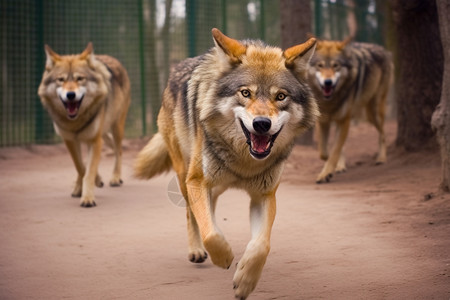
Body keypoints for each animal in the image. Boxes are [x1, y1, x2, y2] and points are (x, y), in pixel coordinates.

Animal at [37, 42, 131, 206]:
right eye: (60, 79)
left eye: (80, 78)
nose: (70, 95)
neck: (75, 121)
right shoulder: (70, 140)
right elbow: (81, 167)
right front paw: (92, 183)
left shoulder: (94, 140)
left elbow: (88, 170)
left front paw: (88, 198)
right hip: (97, 135)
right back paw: (78, 188)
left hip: (116, 127)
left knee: (118, 150)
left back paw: (115, 178)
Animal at [135, 28, 318, 300]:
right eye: (245, 93)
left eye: (280, 96)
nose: (261, 124)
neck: (244, 162)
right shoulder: (197, 181)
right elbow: (210, 232)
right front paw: (223, 256)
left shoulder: (264, 195)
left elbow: (261, 245)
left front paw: (245, 281)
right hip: (185, 176)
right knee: (192, 213)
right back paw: (197, 251)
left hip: (213, 186)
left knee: (209, 209)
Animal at [308, 37, 392, 183]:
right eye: (320, 65)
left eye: (336, 66)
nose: (328, 82)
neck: (330, 101)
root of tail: (383, 49)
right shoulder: (323, 121)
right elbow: (324, 152)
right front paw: (333, 167)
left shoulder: (344, 120)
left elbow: (334, 151)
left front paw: (326, 173)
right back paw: (341, 166)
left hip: (373, 113)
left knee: (383, 134)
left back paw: (381, 158)